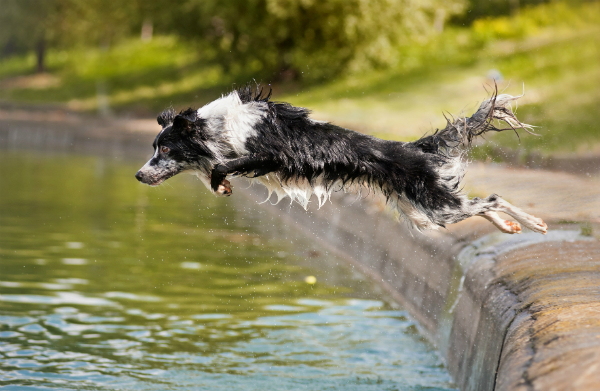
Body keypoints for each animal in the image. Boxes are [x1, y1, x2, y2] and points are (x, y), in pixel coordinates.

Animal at [136, 84, 548, 234]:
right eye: (154, 148)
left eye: (166, 149)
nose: (139, 175)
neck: (217, 128)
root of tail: (416, 147)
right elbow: (220, 169)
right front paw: (220, 187)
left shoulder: (272, 155)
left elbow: (225, 164)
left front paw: (219, 182)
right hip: (423, 214)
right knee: (481, 204)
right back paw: (510, 227)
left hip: (434, 206)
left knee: (492, 198)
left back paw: (536, 223)